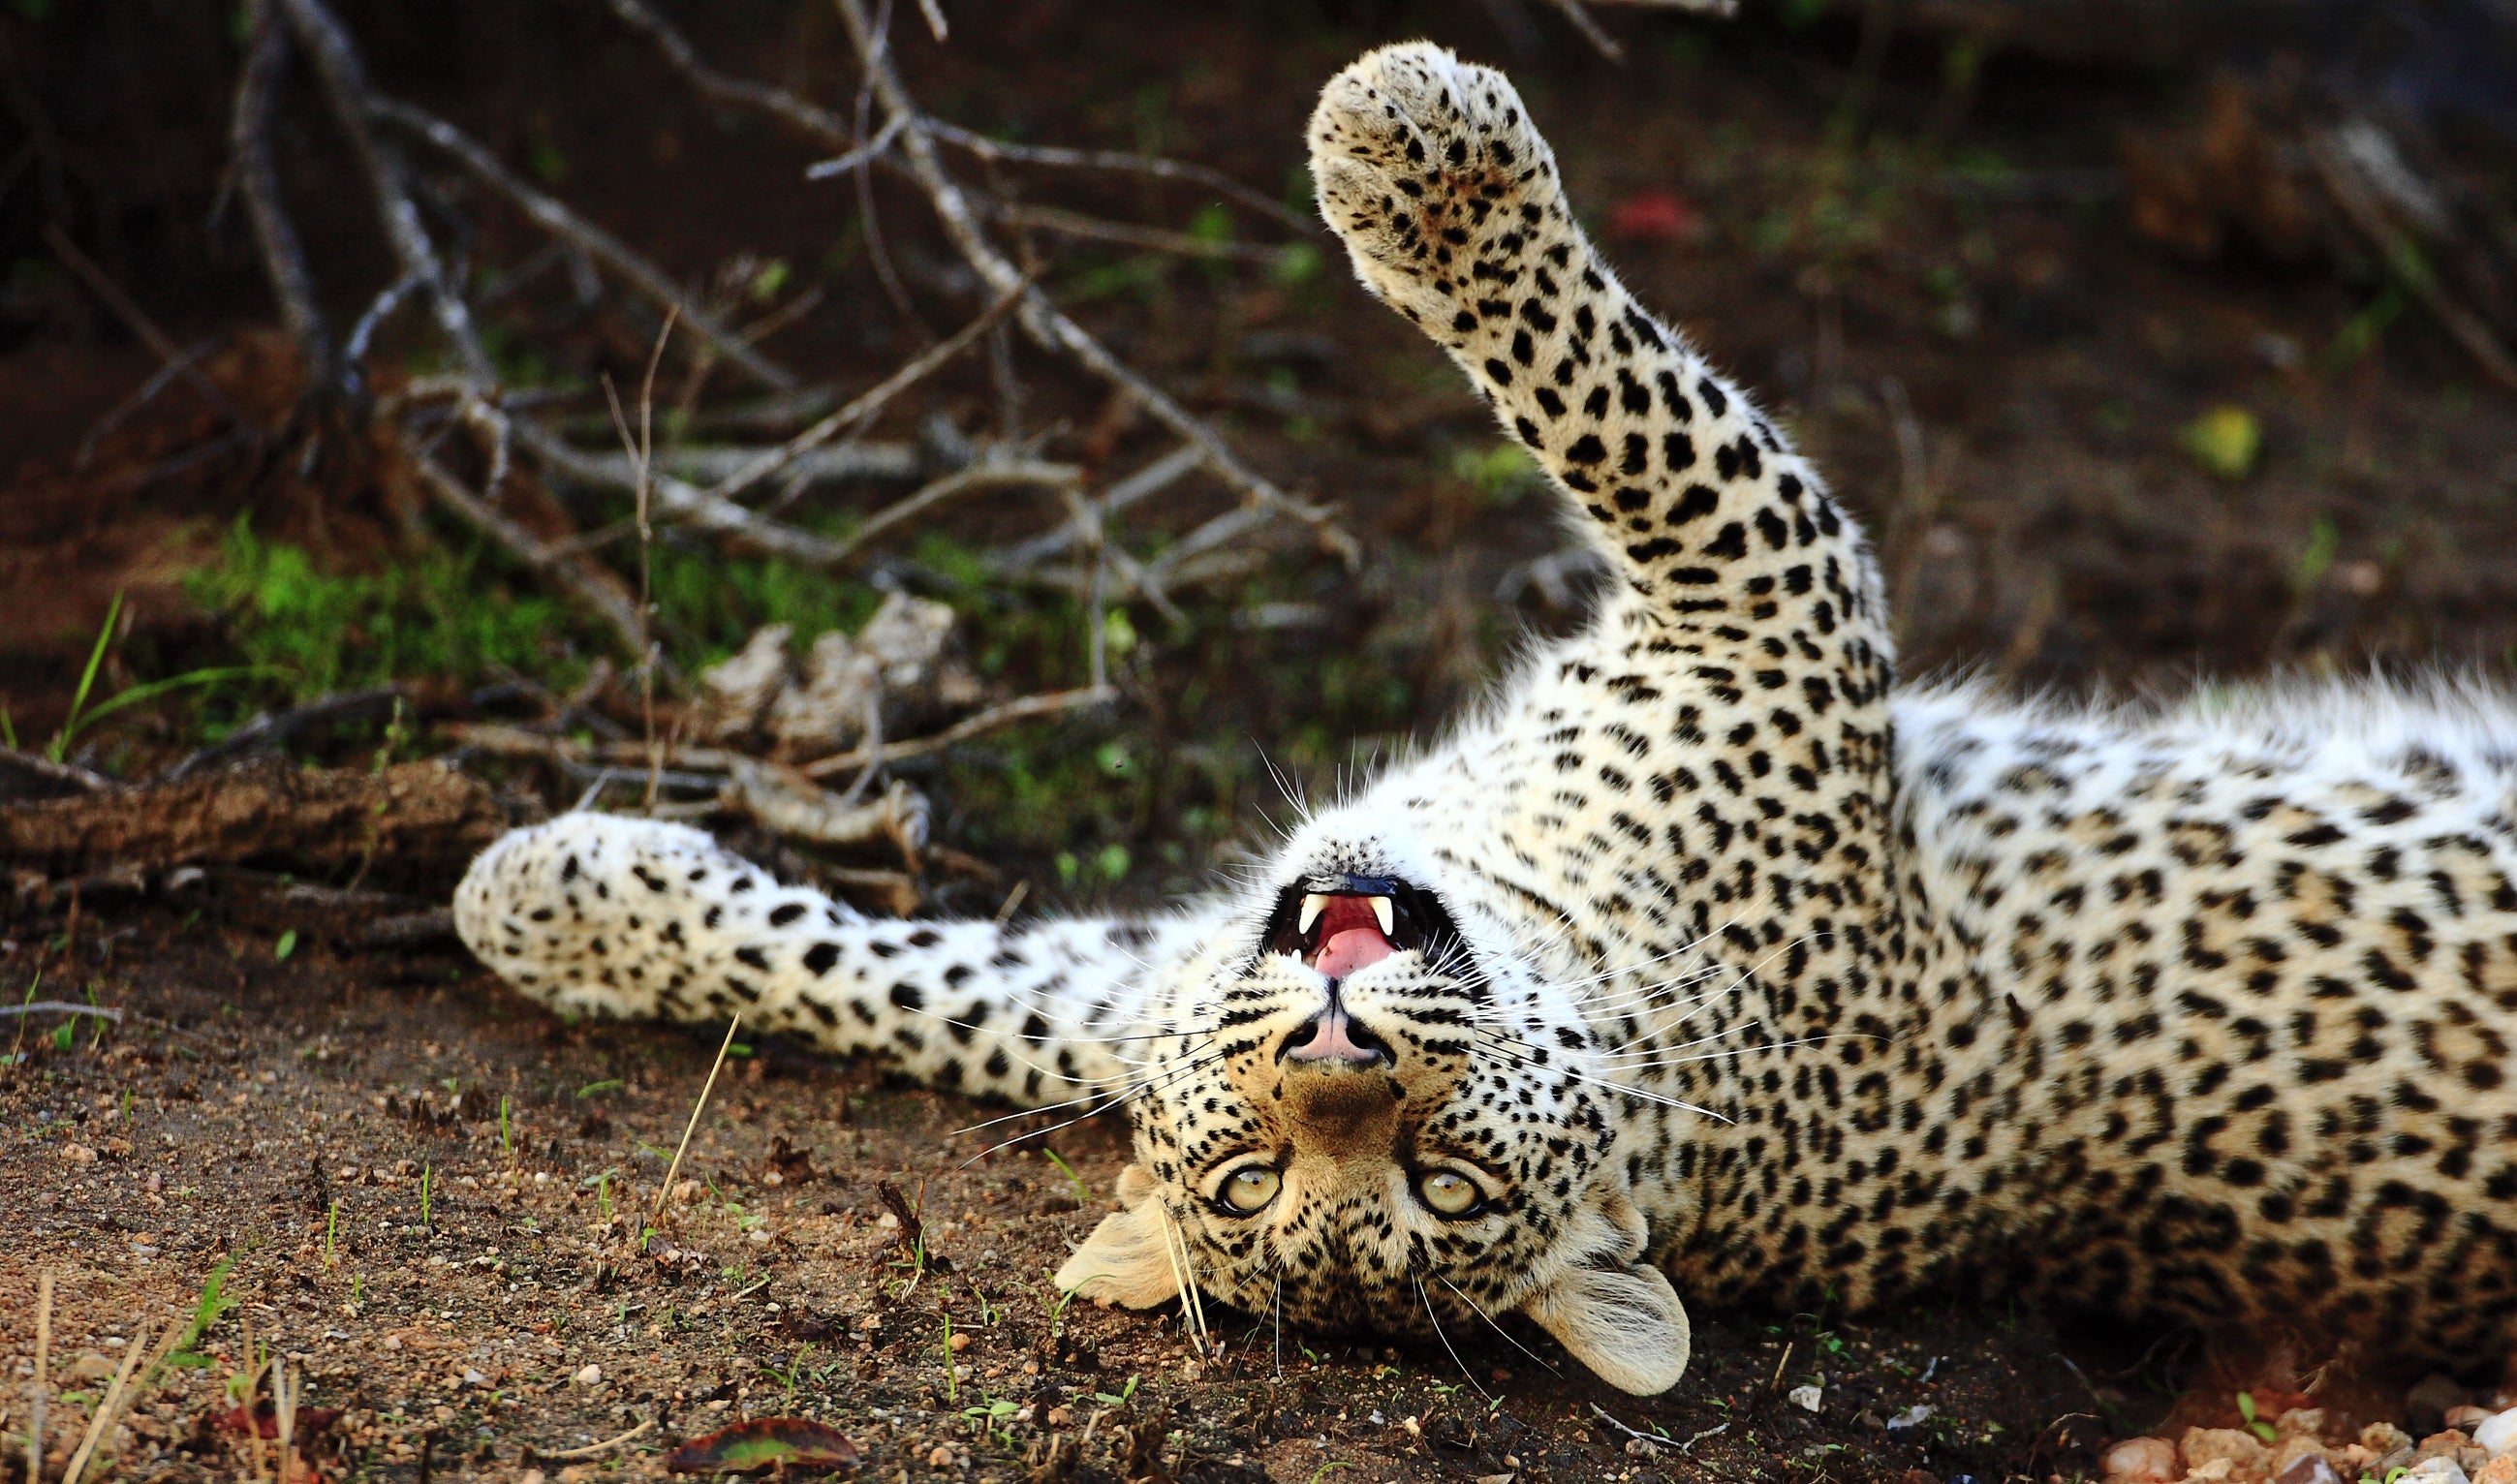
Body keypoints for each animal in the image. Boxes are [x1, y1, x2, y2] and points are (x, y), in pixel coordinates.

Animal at [454, 42, 2517, 1395]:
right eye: (1258, 1171)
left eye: (1435, 1174)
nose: (1336, 1045)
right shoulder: (1155, 976)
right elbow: (912, 985)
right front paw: (561, 901)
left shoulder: (1763, 595)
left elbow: (1605, 395)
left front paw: (1416, 153)